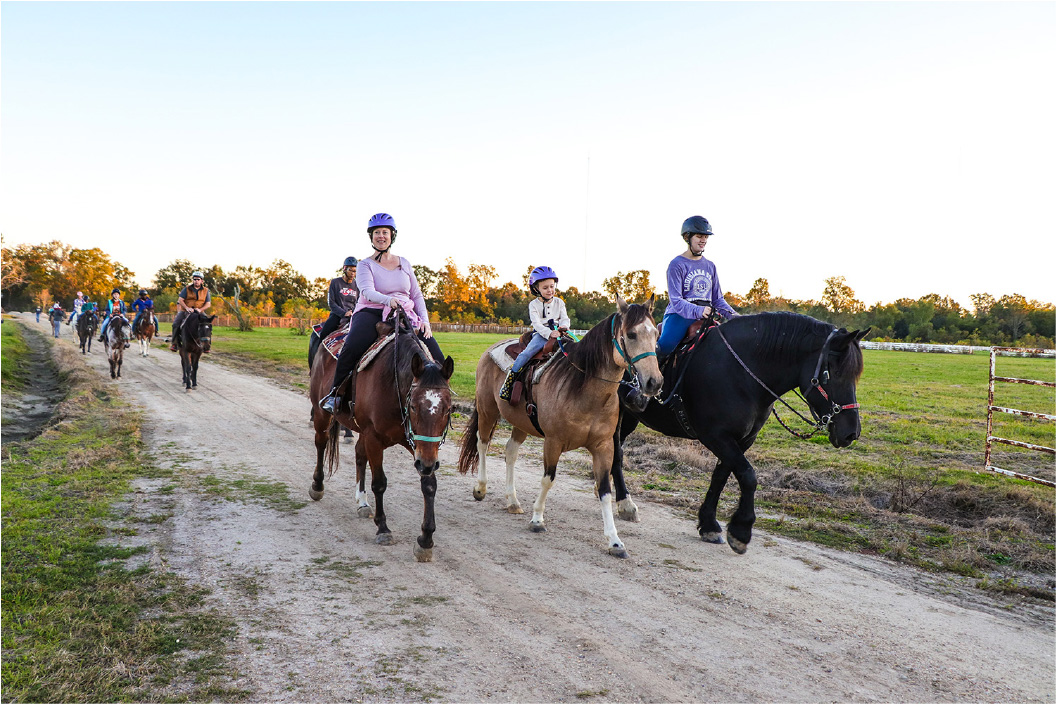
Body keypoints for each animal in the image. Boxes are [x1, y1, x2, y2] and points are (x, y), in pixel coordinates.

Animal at [306, 314, 454, 561]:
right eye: (413, 406)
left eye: (448, 409)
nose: (426, 464)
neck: (395, 383)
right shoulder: (375, 438)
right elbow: (379, 483)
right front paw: (383, 528)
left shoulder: (419, 445)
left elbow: (429, 485)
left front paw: (425, 539)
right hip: (321, 413)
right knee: (321, 443)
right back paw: (317, 486)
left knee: (358, 454)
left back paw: (362, 502)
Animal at [458, 295, 663, 557]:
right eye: (631, 334)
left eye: (655, 334)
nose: (654, 382)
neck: (583, 389)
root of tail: (490, 350)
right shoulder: (553, 442)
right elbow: (548, 479)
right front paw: (537, 520)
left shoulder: (603, 447)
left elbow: (605, 490)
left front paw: (615, 541)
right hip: (487, 411)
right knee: (482, 443)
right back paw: (481, 488)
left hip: (520, 424)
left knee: (510, 452)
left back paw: (512, 501)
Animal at [612, 314, 865, 557]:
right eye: (834, 372)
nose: (851, 433)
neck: (742, 374)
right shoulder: (715, 436)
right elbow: (748, 476)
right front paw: (741, 531)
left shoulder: (741, 440)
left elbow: (721, 477)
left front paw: (709, 525)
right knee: (616, 452)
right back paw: (625, 504)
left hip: (631, 418)